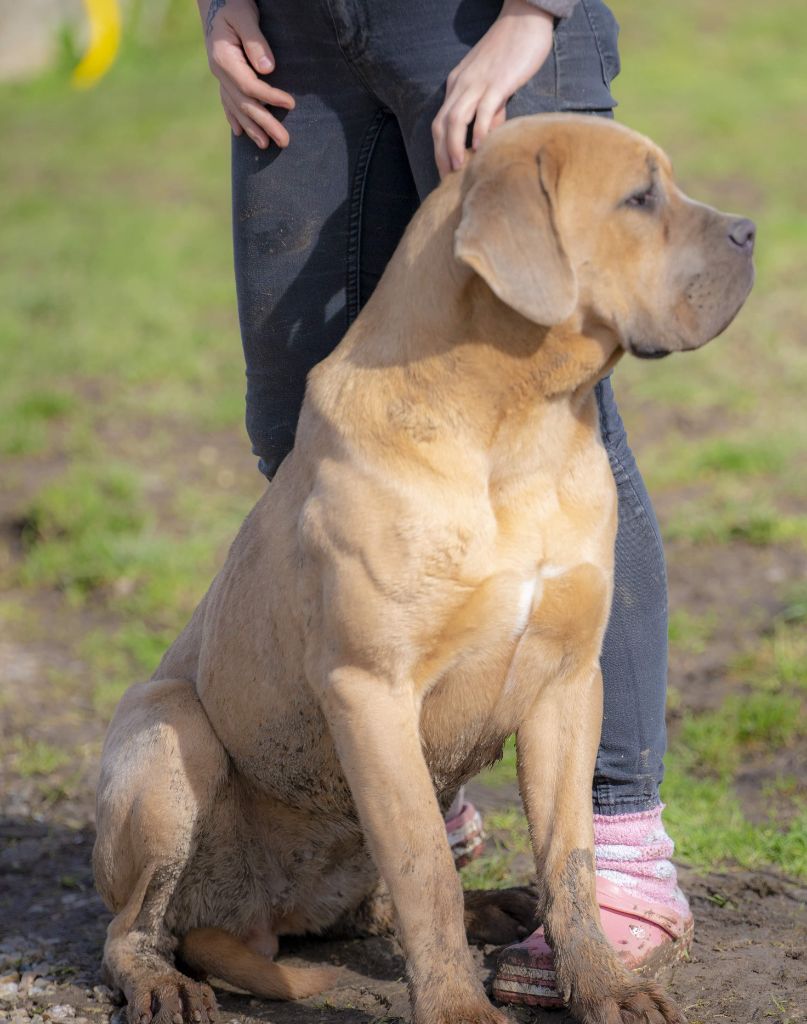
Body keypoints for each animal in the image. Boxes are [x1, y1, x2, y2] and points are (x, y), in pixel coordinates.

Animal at [94, 112, 757, 1024]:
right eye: (638, 198)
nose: (750, 231)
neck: (515, 426)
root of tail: (254, 917)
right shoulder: (371, 690)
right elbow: (423, 869)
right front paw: (456, 1008)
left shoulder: (566, 685)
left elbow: (570, 860)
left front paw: (603, 986)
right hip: (168, 737)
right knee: (129, 929)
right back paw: (163, 982)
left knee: (367, 904)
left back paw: (498, 907)